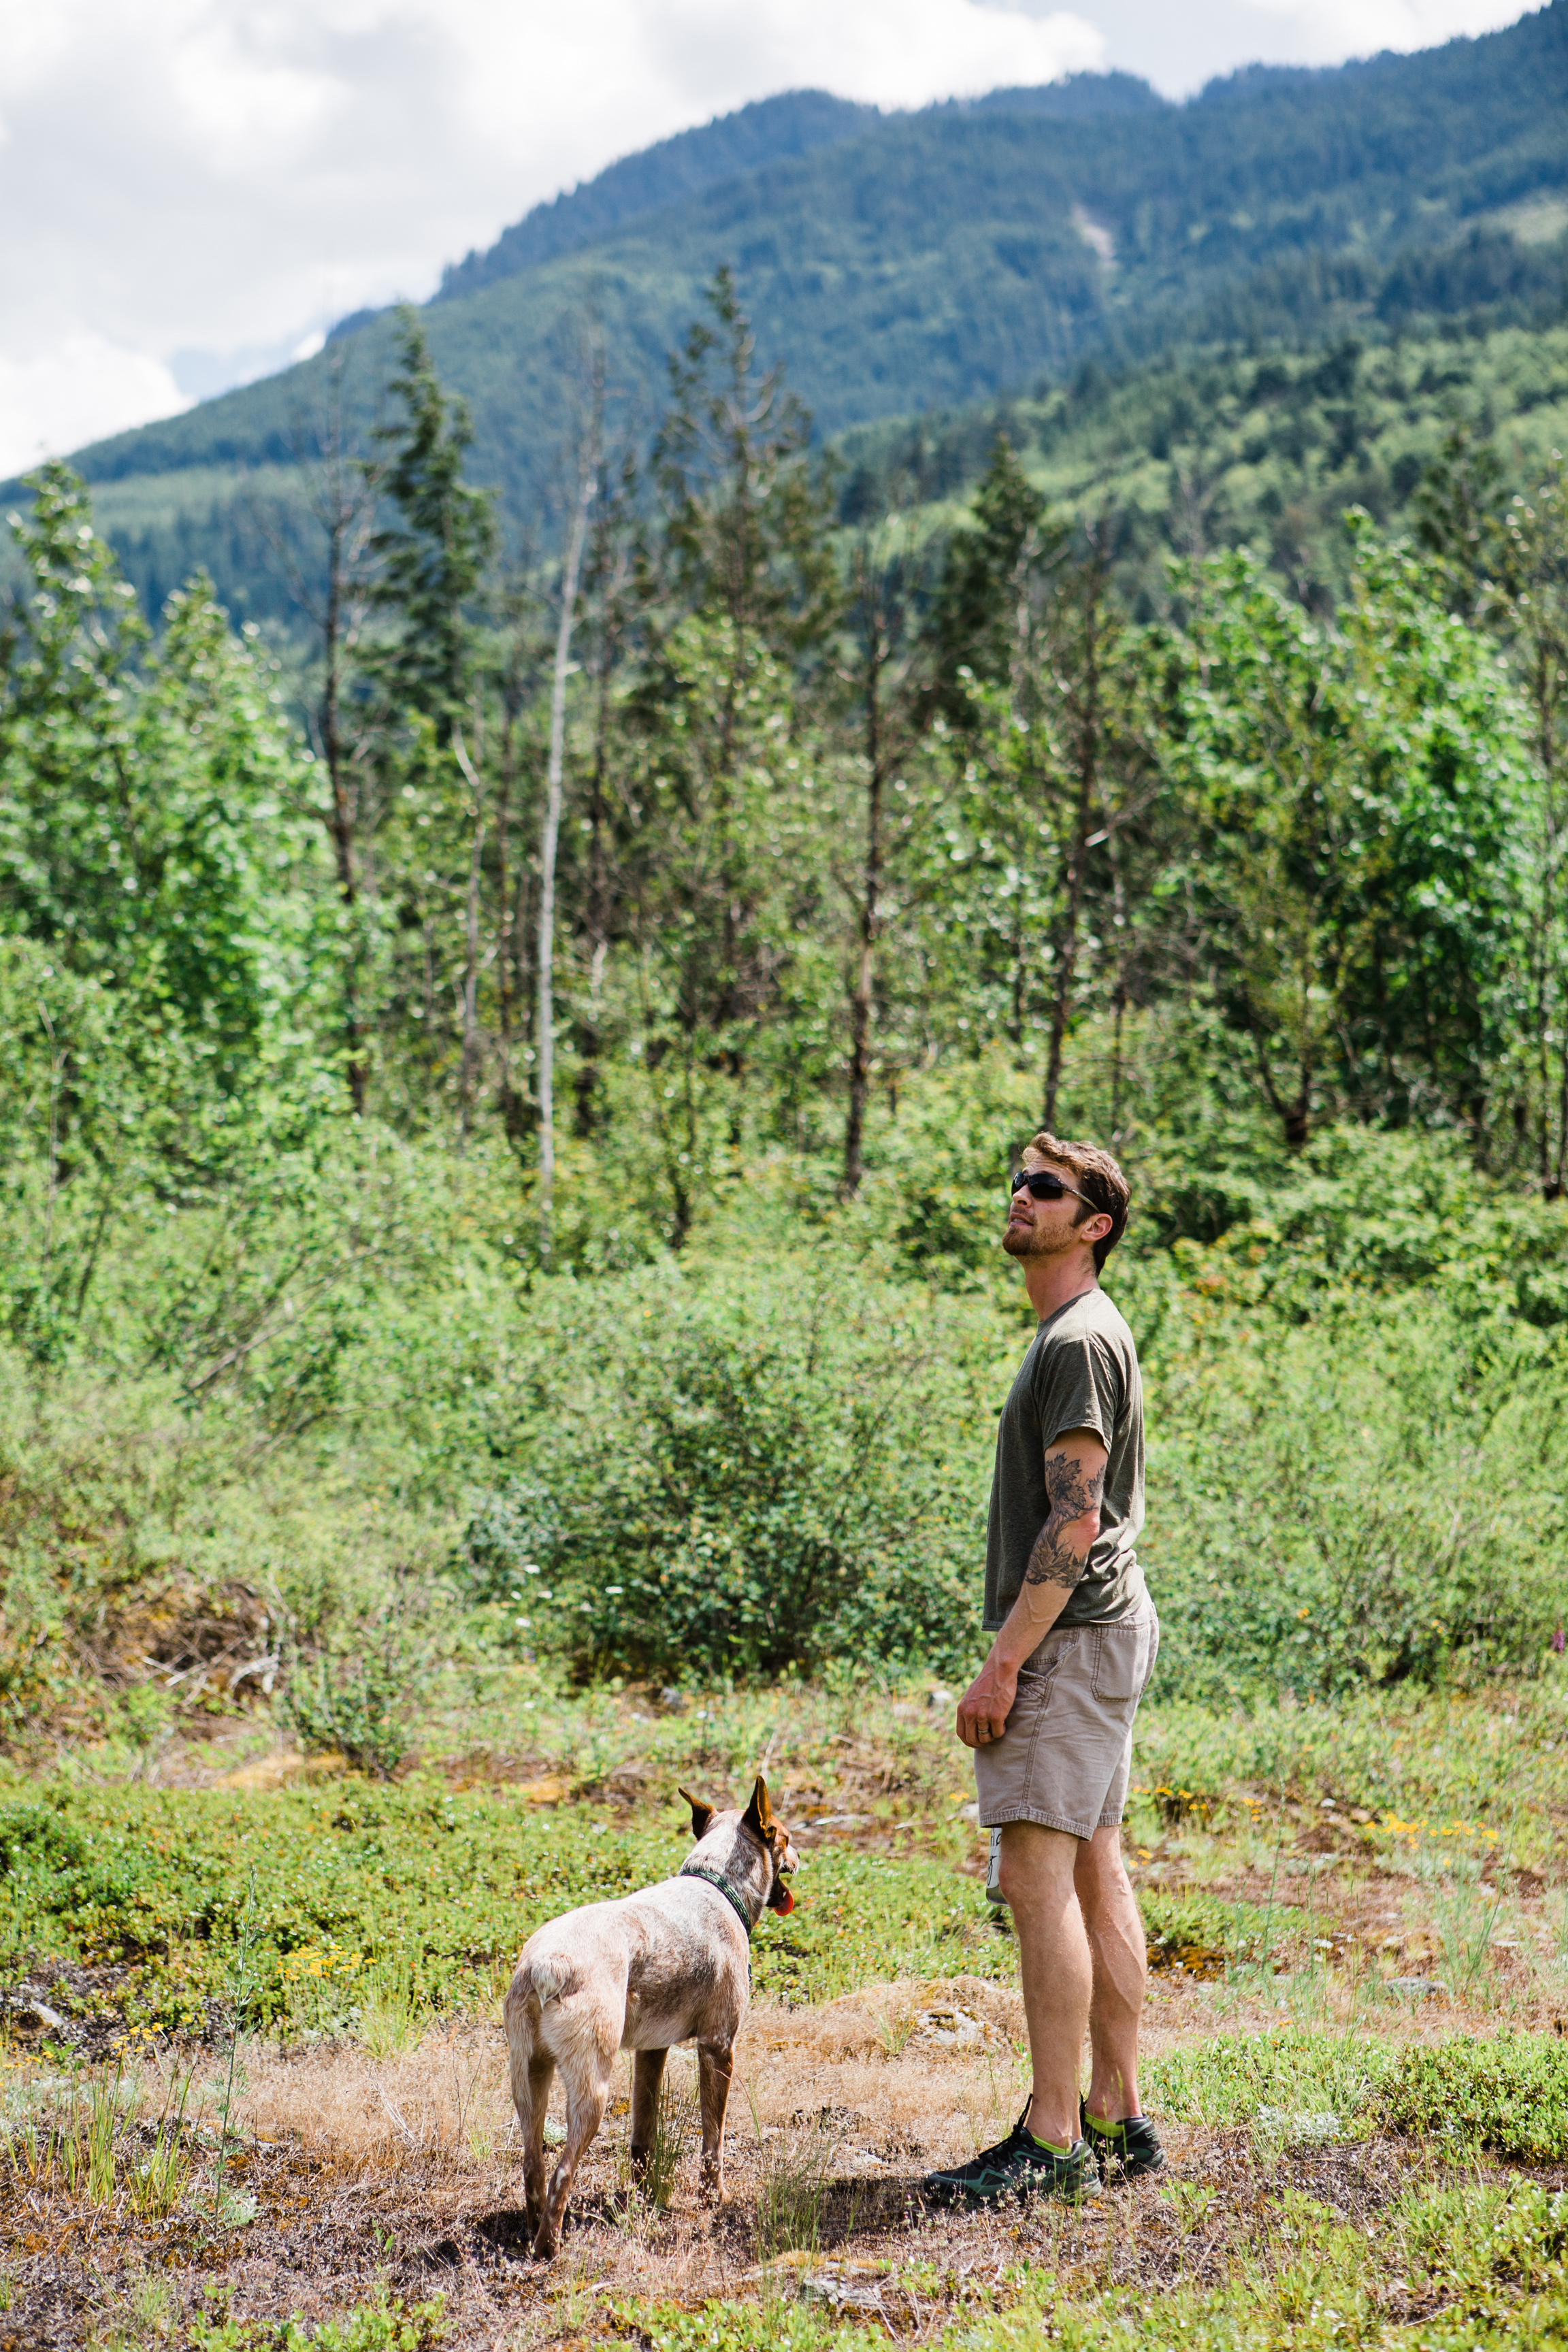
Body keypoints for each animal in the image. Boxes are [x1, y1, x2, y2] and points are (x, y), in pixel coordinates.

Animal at [503, 1768, 799, 2248]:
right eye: (784, 1837)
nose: (803, 1855)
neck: (717, 1882)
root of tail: (548, 1965)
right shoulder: (718, 2047)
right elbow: (713, 2140)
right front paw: (714, 2199)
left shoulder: (651, 2051)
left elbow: (643, 2138)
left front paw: (646, 2200)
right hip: (593, 2091)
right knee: (563, 2172)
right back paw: (549, 2249)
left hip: (529, 2078)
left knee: (534, 2165)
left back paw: (533, 2232)